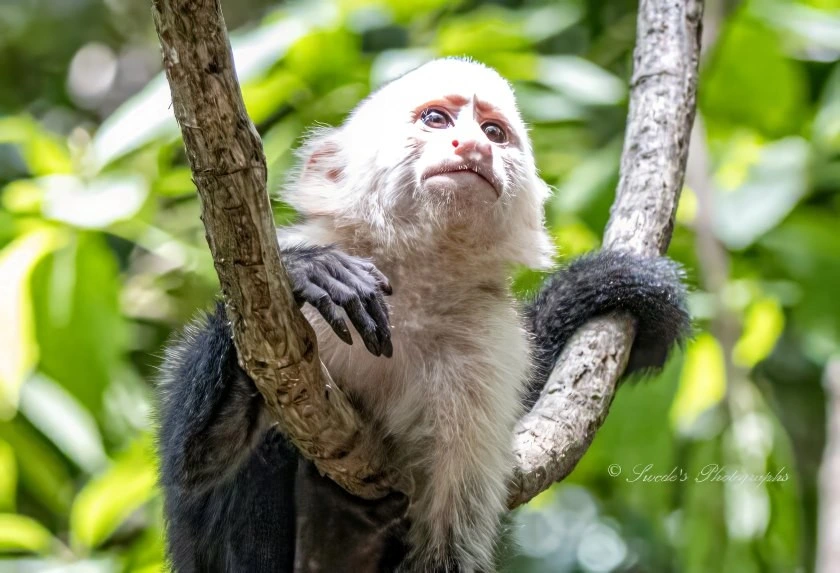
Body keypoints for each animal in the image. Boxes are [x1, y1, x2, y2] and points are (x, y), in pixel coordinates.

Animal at [157, 57, 690, 572]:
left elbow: (449, 548)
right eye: (436, 119)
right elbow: (194, 470)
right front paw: (301, 271)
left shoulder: (490, 348)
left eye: (494, 132)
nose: (474, 145)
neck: (412, 290)